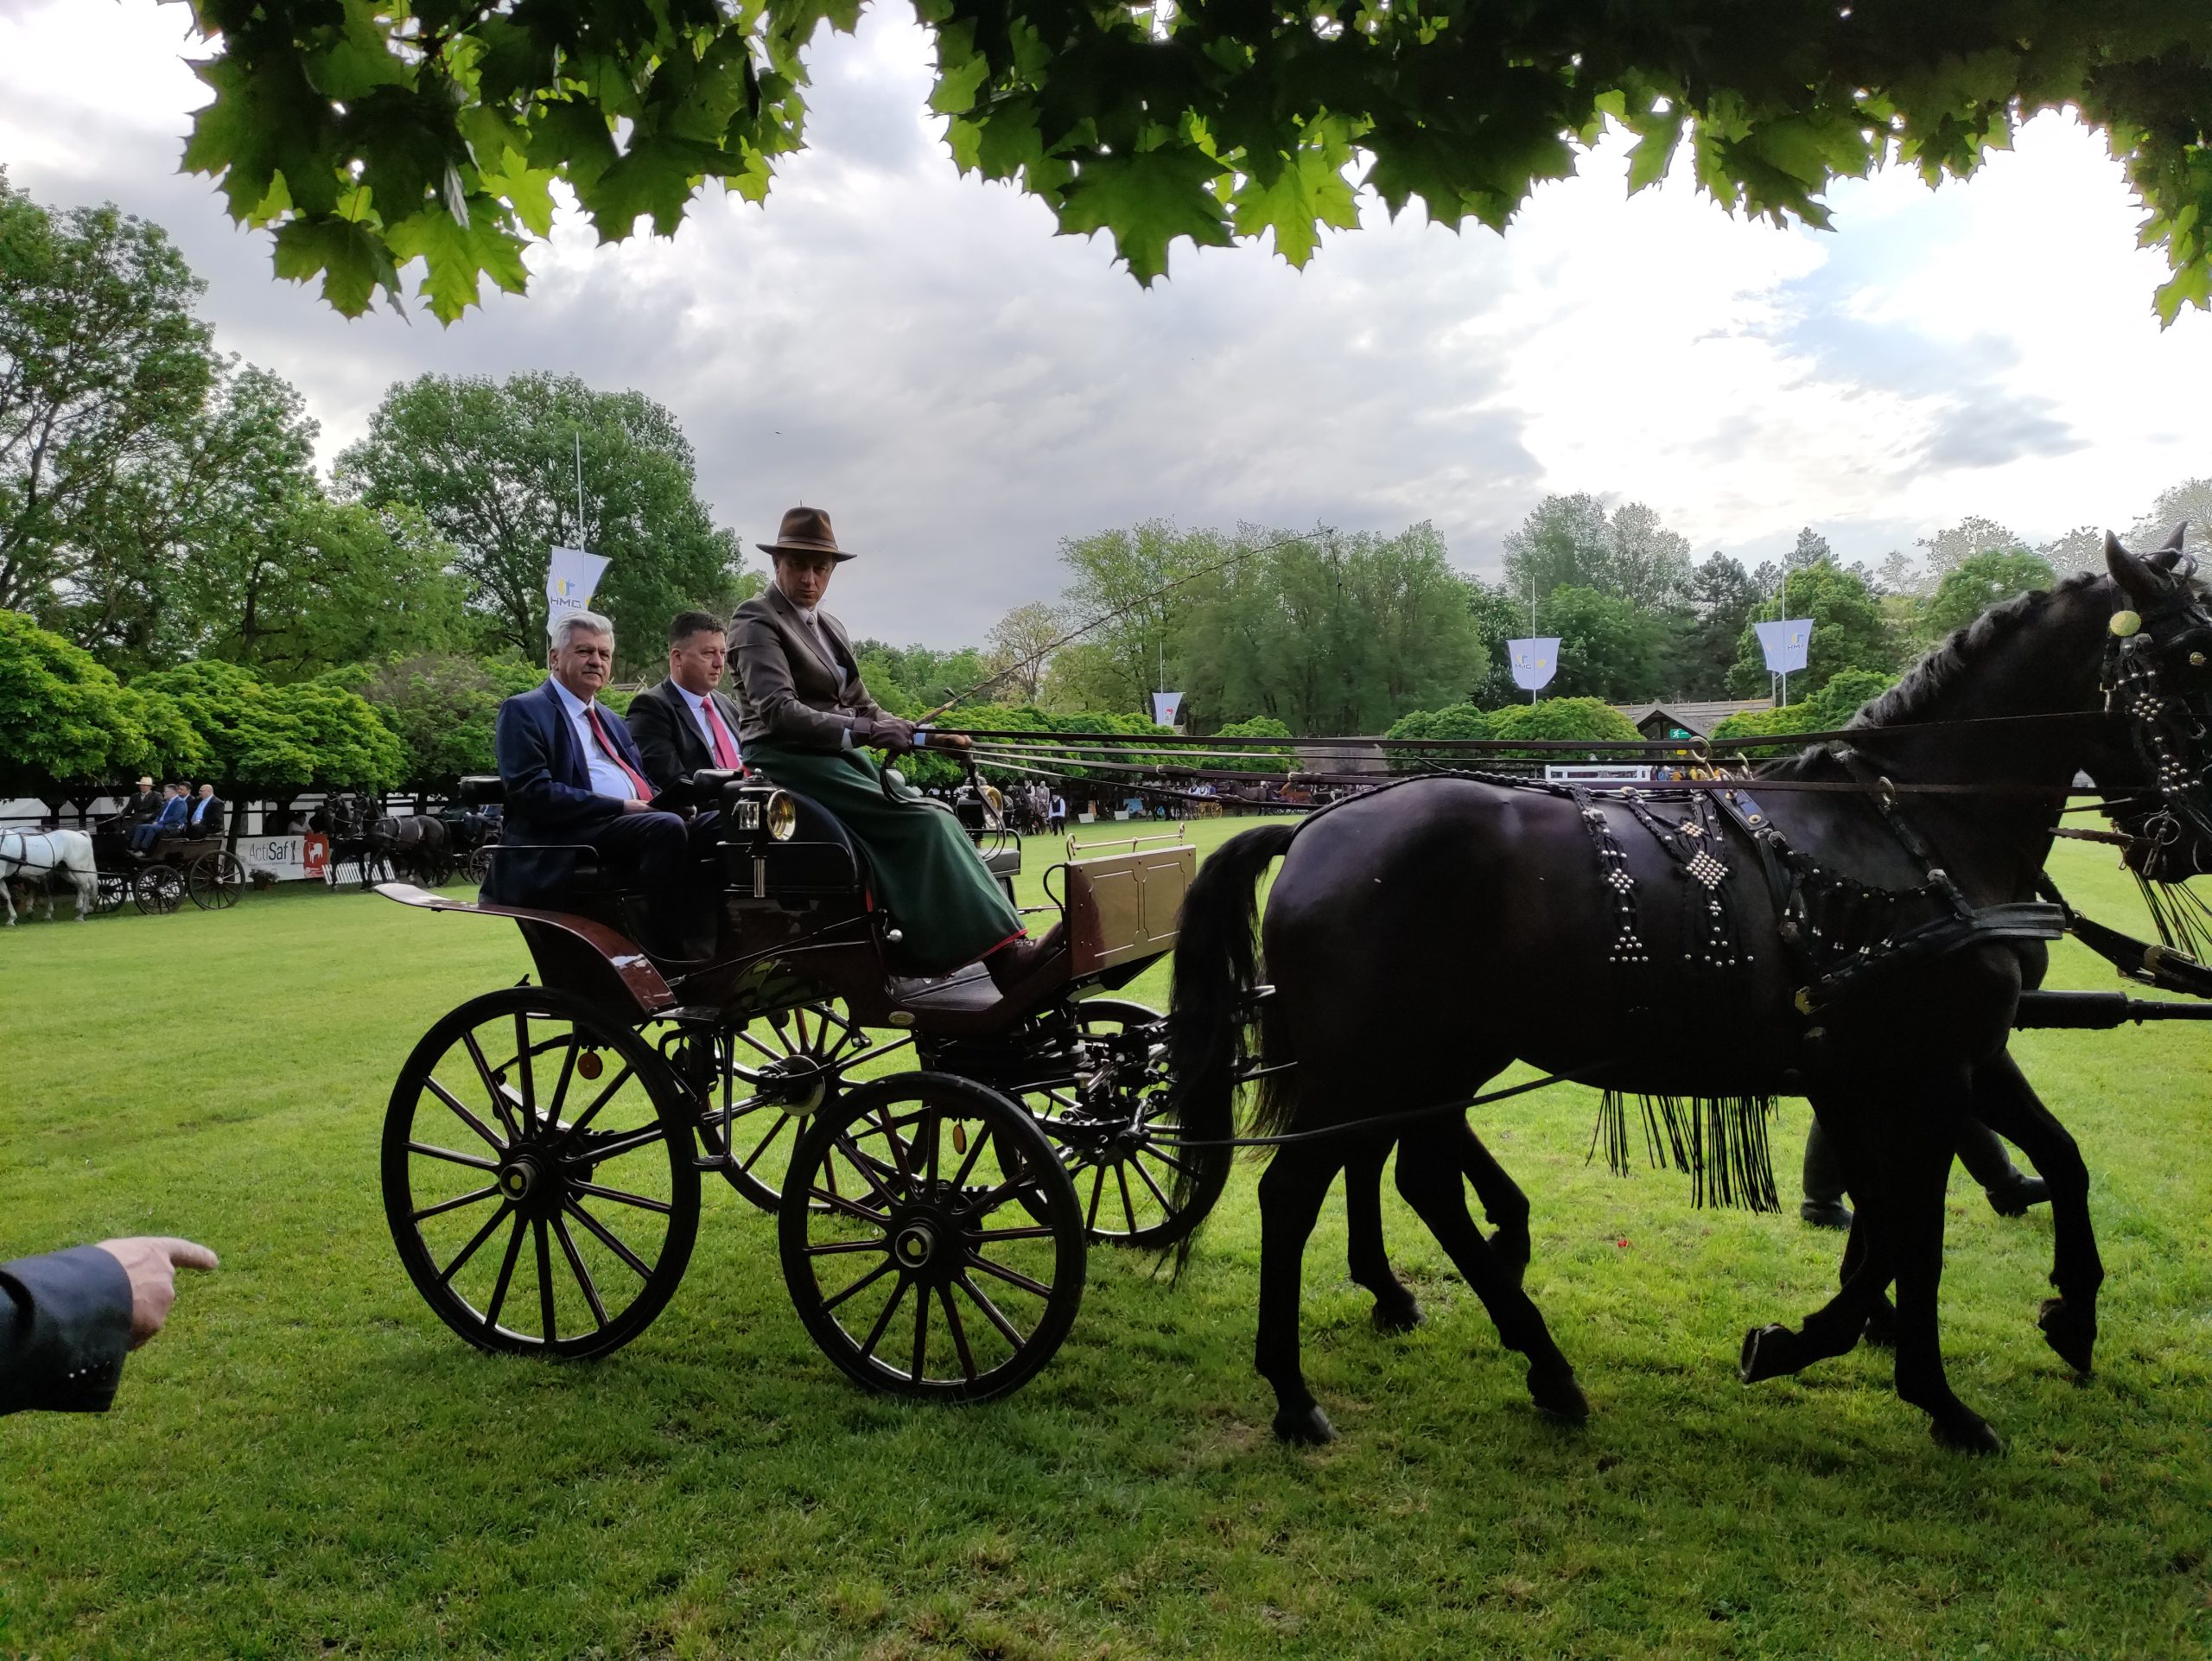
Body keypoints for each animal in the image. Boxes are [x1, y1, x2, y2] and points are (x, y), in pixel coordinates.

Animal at [1167, 535, 2202, 1450]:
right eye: (2191, 660)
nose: (2190, 837)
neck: (1907, 829)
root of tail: (1315, 826)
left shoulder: (1937, 1060)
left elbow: (2032, 1171)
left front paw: (2057, 1314)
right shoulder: (1927, 1070)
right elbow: (1911, 1234)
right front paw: (1918, 1386)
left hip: (1432, 1056)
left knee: (1414, 1174)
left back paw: (1539, 1362)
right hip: (1367, 1060)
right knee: (1295, 1191)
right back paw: (1295, 1393)